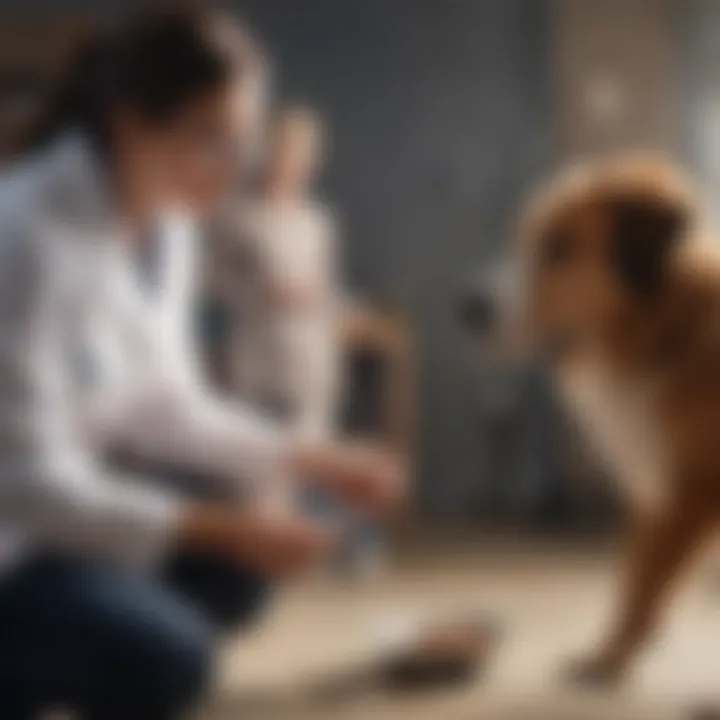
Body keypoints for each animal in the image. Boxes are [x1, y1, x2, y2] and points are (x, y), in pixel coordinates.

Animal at [464, 156, 720, 688]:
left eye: (561, 245)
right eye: (521, 237)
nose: (468, 306)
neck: (671, 330)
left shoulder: (694, 490)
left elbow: (649, 582)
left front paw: (612, 660)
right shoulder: (658, 489)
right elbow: (636, 578)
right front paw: (615, 650)